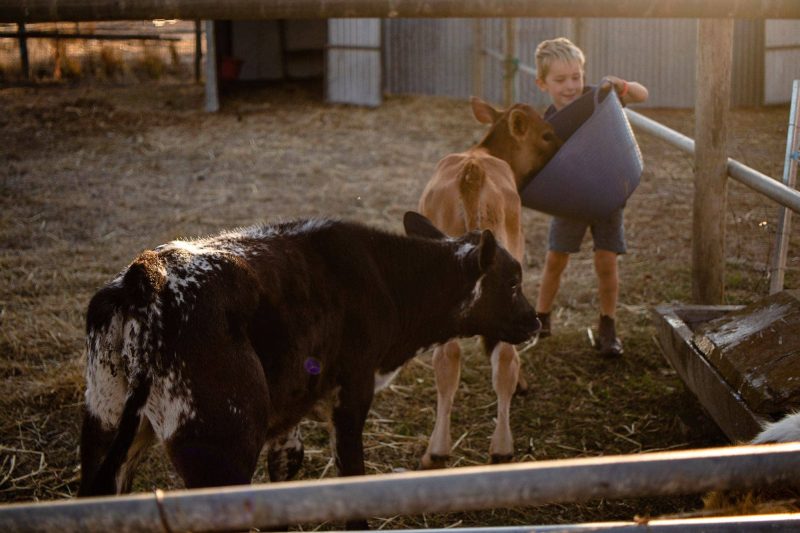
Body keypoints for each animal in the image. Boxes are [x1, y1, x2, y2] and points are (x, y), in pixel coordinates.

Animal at [78, 212, 540, 528]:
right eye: (513, 282)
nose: (535, 321)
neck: (384, 281)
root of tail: (146, 279)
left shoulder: (287, 414)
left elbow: (285, 476)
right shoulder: (350, 397)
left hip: (104, 424)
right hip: (219, 449)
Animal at [417, 96, 561, 468]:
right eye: (546, 134)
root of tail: (473, 172)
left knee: (448, 358)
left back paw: (436, 450)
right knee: (505, 358)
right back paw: (501, 447)